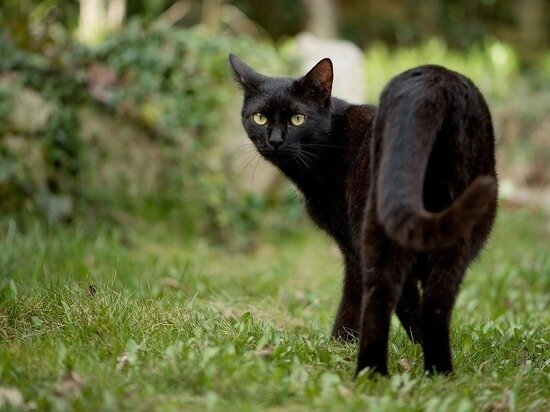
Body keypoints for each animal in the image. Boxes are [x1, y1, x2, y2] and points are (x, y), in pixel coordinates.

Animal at [229, 53, 500, 374]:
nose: (275, 140)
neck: (333, 145)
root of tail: (436, 82)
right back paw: (440, 371)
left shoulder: (352, 245)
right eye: (259, 118)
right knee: (436, 302)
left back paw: (372, 372)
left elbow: (353, 296)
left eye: (298, 119)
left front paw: (337, 345)